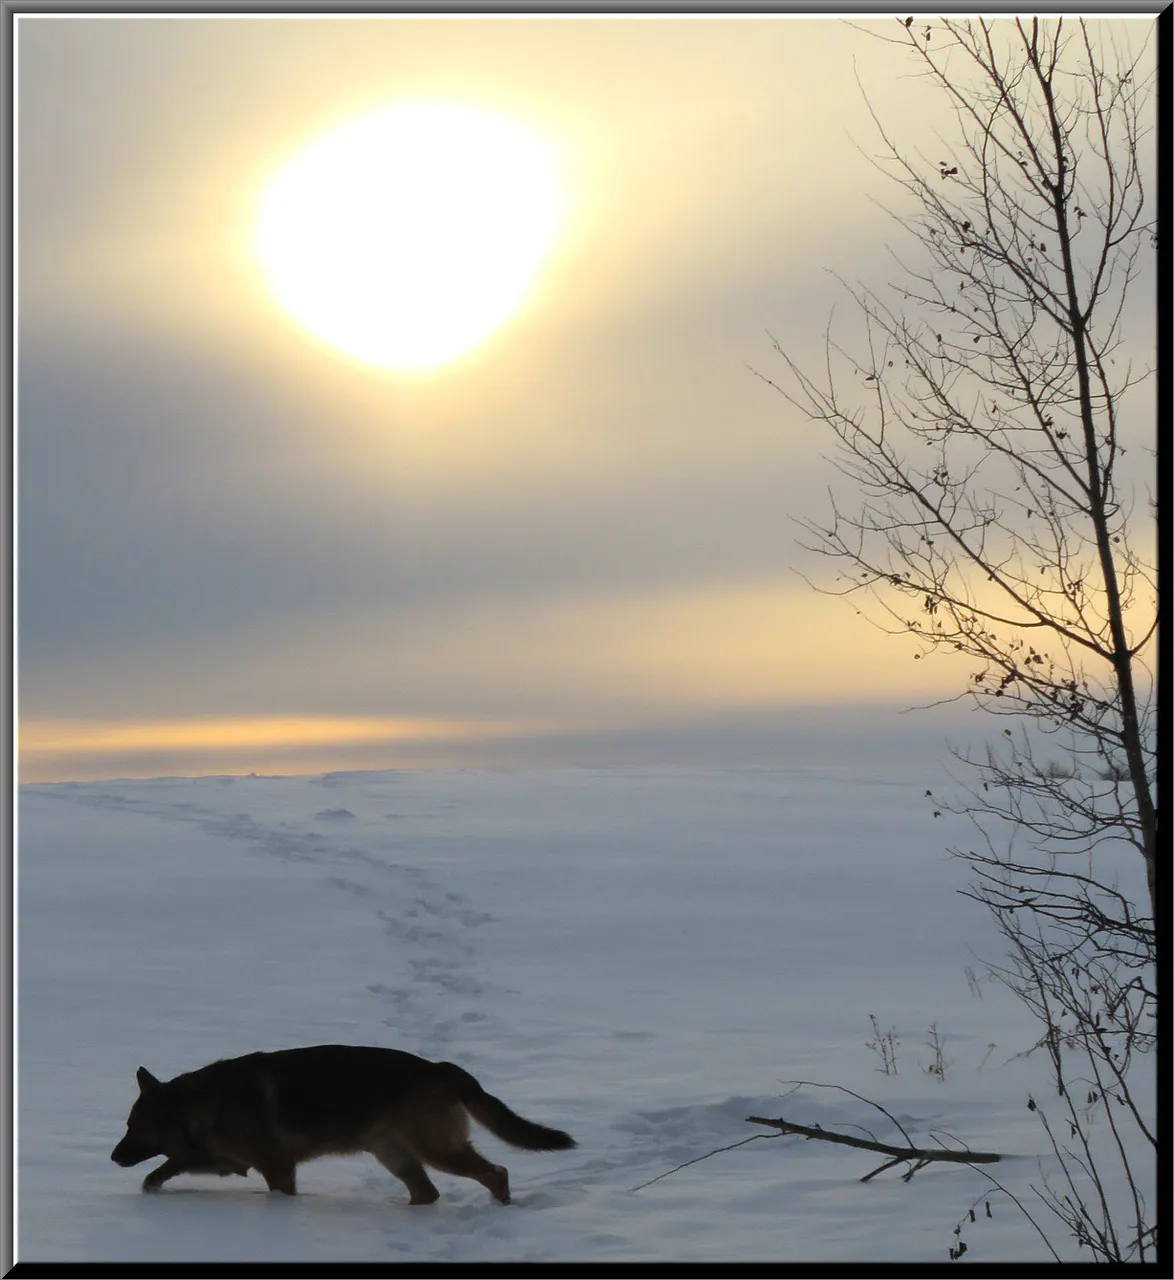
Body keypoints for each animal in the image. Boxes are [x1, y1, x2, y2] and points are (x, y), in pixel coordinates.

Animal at [112, 1044, 576, 1203]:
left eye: (133, 1127)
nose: (113, 1157)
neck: (195, 1104)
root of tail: (441, 1068)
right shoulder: (227, 1160)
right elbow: (170, 1165)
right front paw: (151, 1188)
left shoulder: (276, 1166)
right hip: (396, 1156)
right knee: (427, 1193)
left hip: (437, 1150)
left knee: (496, 1173)